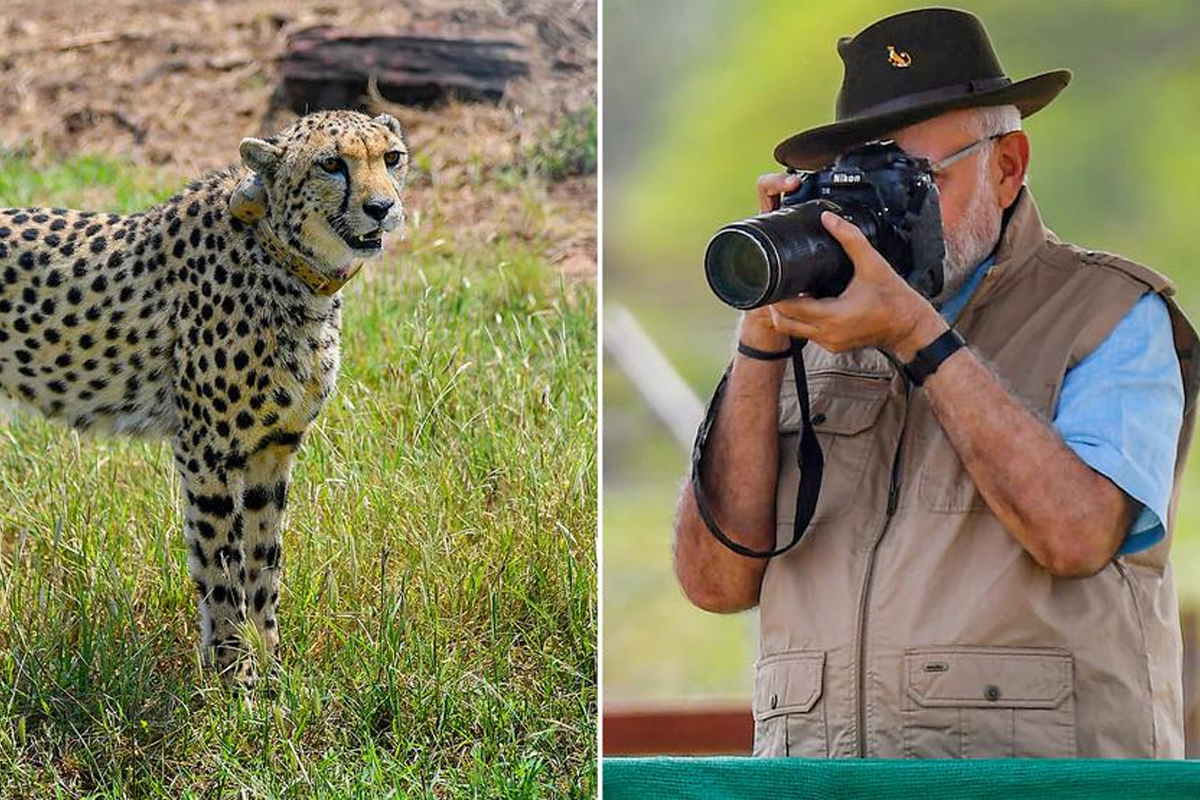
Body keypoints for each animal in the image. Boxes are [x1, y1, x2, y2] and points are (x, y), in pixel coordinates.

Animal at [0, 109, 408, 686]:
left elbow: (264, 562)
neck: (284, 259)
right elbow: (220, 564)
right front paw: (236, 678)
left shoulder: (272, 450)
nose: (382, 208)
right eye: (331, 164)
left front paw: (272, 670)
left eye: (391, 158)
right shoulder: (206, 451)